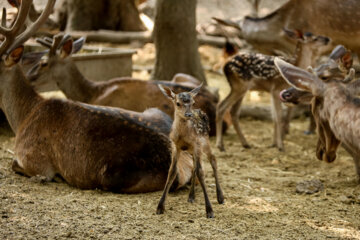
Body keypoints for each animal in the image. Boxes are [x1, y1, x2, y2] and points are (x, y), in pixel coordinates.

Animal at [0, 0, 194, 193]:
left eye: (43, 63)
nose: (31, 76)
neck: (23, 118)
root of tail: (182, 165)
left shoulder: (36, 162)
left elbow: (15, 165)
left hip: (114, 177)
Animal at [156, 83, 224, 218]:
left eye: (192, 102)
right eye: (177, 103)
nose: (188, 114)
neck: (183, 136)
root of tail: (201, 112)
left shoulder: (197, 144)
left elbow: (201, 172)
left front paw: (209, 210)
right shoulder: (175, 146)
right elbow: (172, 171)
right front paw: (160, 207)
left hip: (205, 141)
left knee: (213, 159)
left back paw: (220, 197)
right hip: (193, 150)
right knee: (194, 167)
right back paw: (191, 196)